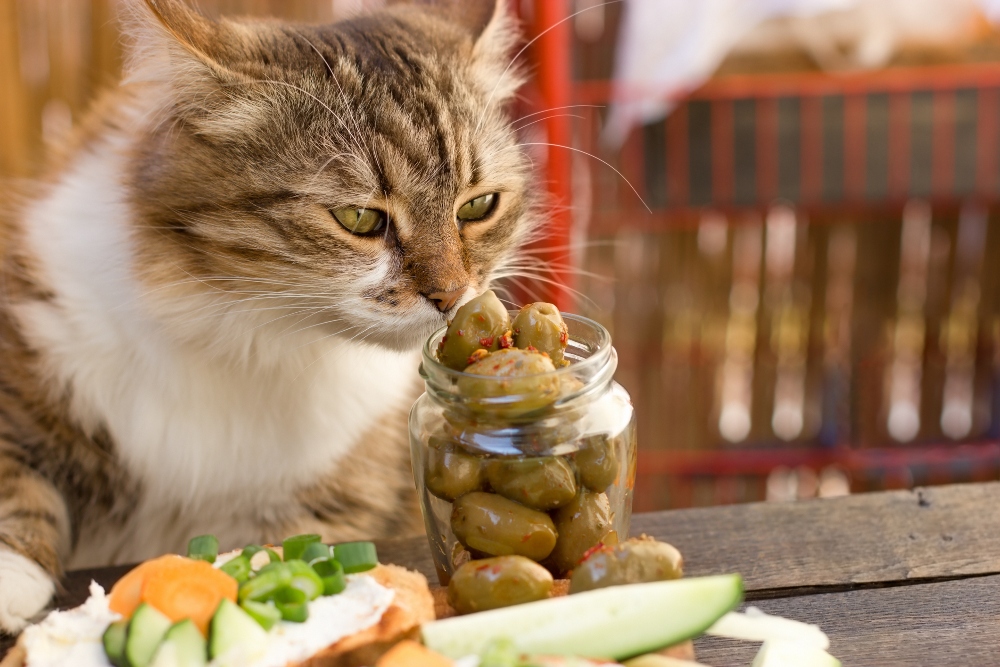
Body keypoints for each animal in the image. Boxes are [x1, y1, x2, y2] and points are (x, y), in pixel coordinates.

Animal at [0, 0, 536, 636]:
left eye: (478, 206)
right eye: (359, 218)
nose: (452, 296)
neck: (250, 331)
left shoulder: (331, 496)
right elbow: (15, 470)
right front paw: (12, 575)